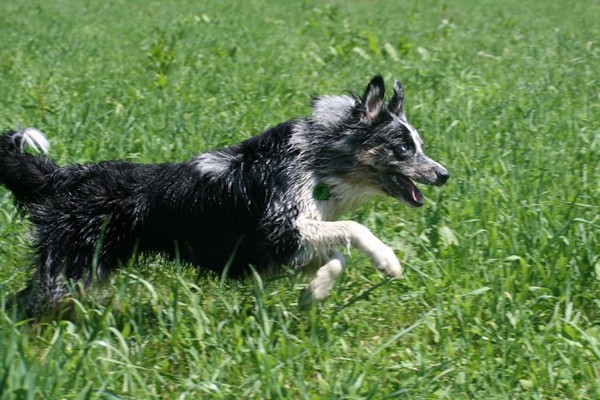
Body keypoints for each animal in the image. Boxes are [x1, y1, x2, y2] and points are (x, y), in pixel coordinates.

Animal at [0, 75, 448, 316]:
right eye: (403, 148)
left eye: (420, 146)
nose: (444, 174)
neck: (317, 159)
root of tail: (65, 176)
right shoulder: (275, 230)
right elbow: (354, 229)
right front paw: (388, 261)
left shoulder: (285, 244)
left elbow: (336, 257)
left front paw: (312, 294)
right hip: (70, 265)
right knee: (25, 302)